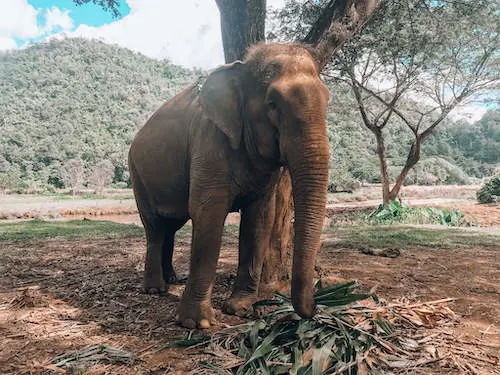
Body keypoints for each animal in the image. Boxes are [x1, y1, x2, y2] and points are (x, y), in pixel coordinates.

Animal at [129, 43, 330, 328]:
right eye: (272, 104)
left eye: (327, 100)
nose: (316, 306)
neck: (242, 67)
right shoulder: (209, 143)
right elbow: (208, 212)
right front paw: (196, 323)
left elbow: (259, 219)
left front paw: (239, 308)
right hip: (137, 174)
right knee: (155, 227)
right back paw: (155, 289)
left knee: (171, 224)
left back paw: (171, 280)